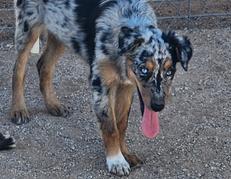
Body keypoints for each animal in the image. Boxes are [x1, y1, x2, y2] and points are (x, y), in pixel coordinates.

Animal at [12, 0, 193, 176]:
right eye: (143, 69)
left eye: (170, 72)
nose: (158, 105)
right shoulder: (101, 84)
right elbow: (110, 125)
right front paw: (116, 161)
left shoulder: (127, 85)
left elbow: (121, 124)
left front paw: (125, 154)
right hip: (28, 27)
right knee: (18, 69)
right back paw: (19, 109)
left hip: (61, 29)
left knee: (44, 65)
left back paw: (53, 105)